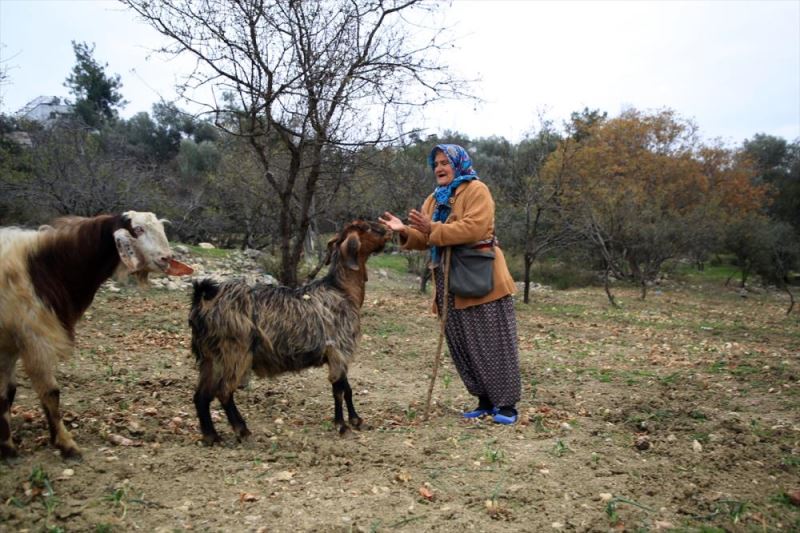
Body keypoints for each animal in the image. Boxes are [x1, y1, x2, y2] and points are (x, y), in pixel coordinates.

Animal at [0, 212, 193, 458]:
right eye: (138, 230)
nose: (166, 258)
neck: (43, 266)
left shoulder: (11, 344)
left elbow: (8, 392)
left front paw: (6, 446)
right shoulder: (35, 337)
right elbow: (49, 392)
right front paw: (66, 444)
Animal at [188, 218, 388, 442]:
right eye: (368, 227)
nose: (388, 230)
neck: (342, 291)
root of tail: (202, 301)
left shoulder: (338, 354)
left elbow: (347, 388)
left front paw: (355, 420)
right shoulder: (338, 349)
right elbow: (338, 388)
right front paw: (342, 426)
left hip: (210, 357)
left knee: (201, 395)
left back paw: (211, 436)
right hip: (234, 353)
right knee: (223, 391)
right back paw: (242, 431)